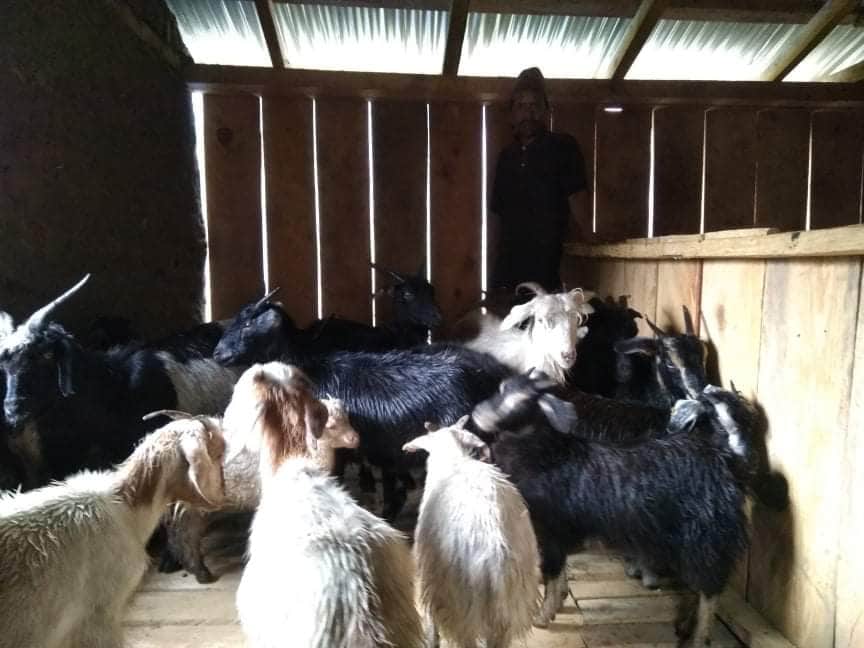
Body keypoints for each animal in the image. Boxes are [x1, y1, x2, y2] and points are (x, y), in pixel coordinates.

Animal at [161, 395, 360, 583]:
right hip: (192, 504)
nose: (356, 439)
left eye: (347, 418)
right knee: (185, 534)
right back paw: (200, 572)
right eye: (331, 426)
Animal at [471, 370, 750, 646]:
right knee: (700, 585)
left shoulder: (551, 530)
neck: (545, 458)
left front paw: (543, 616)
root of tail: (726, 460)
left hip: (704, 537)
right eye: (502, 388)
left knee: (710, 589)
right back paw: (686, 625)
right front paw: (558, 602)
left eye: (522, 402)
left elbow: (552, 574)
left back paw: (699, 636)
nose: (478, 415)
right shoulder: (557, 533)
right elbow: (559, 573)